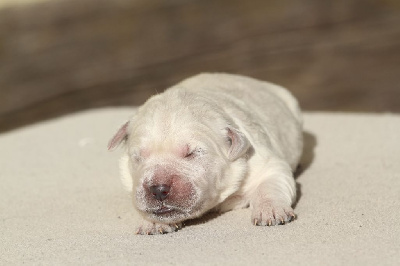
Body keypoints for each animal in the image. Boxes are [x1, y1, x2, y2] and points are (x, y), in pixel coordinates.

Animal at [108, 72, 302, 235]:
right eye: (138, 157)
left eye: (192, 153)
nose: (158, 189)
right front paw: (153, 222)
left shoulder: (264, 162)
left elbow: (270, 183)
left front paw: (271, 210)